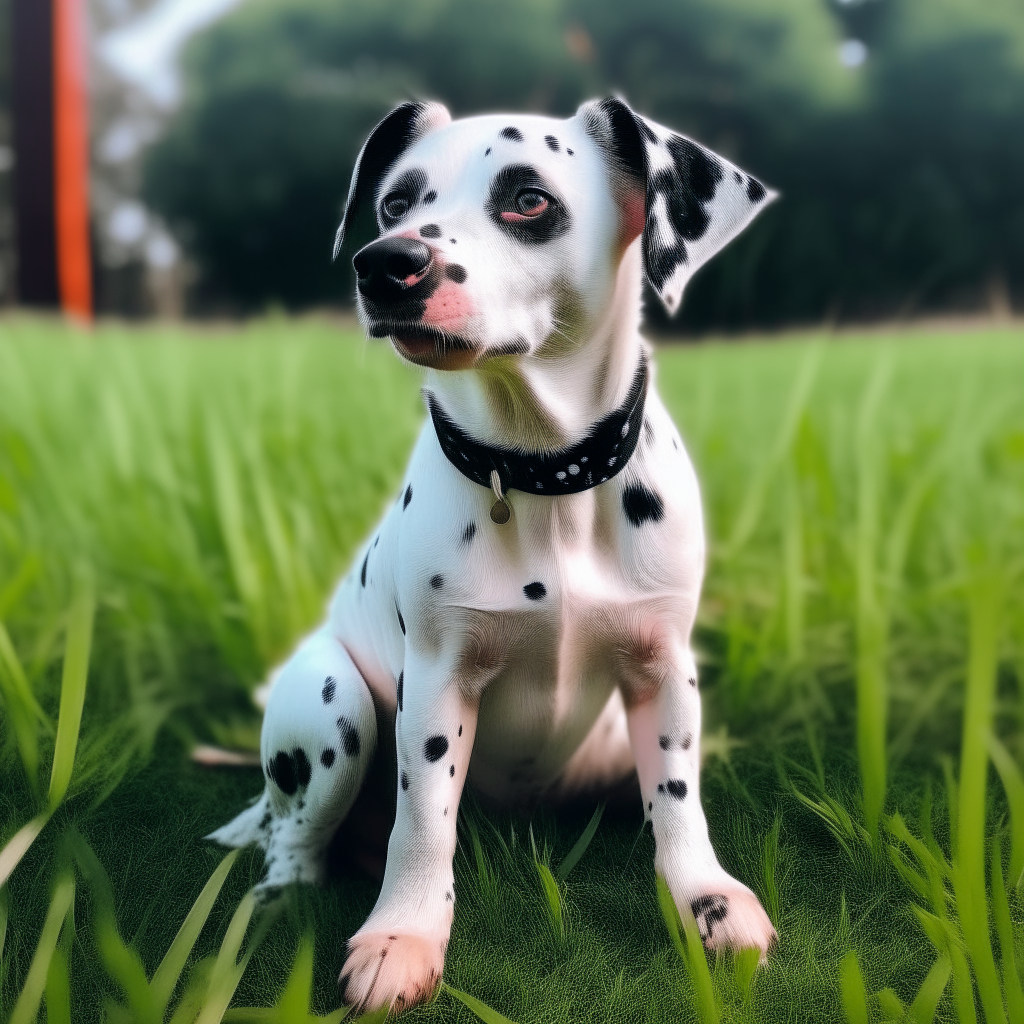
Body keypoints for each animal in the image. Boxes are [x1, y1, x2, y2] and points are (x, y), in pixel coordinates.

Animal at [211, 97, 778, 1015]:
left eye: (528, 199)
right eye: (394, 203)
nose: (388, 265)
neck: (545, 475)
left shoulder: (664, 671)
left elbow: (680, 805)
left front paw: (707, 901)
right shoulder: (437, 686)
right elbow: (421, 825)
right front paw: (403, 935)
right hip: (334, 708)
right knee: (297, 829)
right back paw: (283, 889)